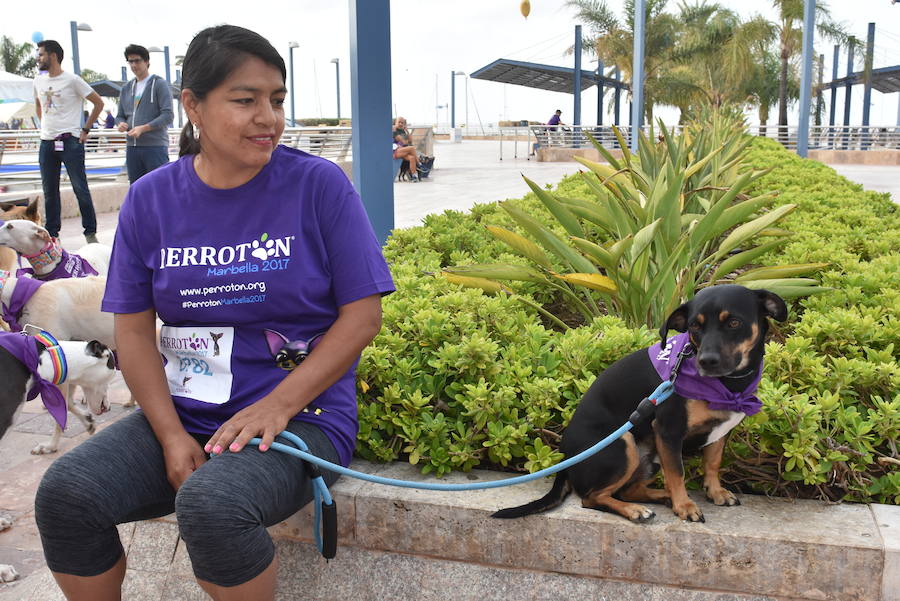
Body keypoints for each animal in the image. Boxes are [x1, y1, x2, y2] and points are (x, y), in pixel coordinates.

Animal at [492, 284, 788, 524]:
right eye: (694, 326)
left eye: (734, 323)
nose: (706, 361)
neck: (728, 386)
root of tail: (565, 461)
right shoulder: (668, 432)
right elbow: (677, 472)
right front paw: (685, 506)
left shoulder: (720, 432)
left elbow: (712, 464)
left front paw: (714, 492)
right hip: (623, 445)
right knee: (591, 498)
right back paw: (636, 510)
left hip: (648, 457)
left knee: (627, 490)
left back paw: (659, 496)